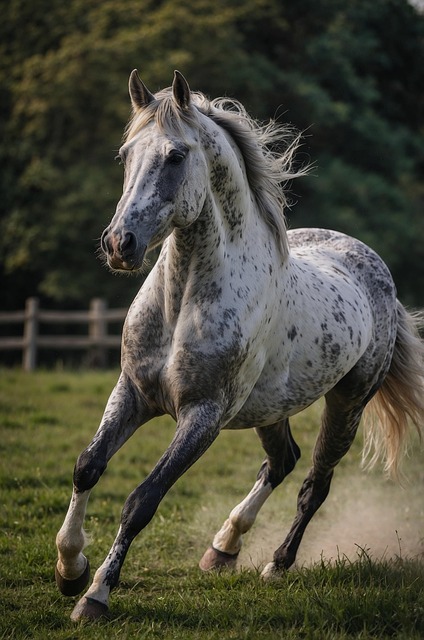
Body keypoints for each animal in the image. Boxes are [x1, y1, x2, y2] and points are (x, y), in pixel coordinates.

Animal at [55, 70, 424, 621]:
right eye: (124, 155)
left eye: (175, 156)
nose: (119, 244)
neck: (182, 305)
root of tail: (376, 270)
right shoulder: (132, 393)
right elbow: (87, 466)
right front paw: (69, 568)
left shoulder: (203, 416)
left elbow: (142, 499)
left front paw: (96, 593)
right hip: (271, 409)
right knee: (283, 461)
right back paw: (222, 549)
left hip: (348, 402)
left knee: (314, 483)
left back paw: (276, 564)